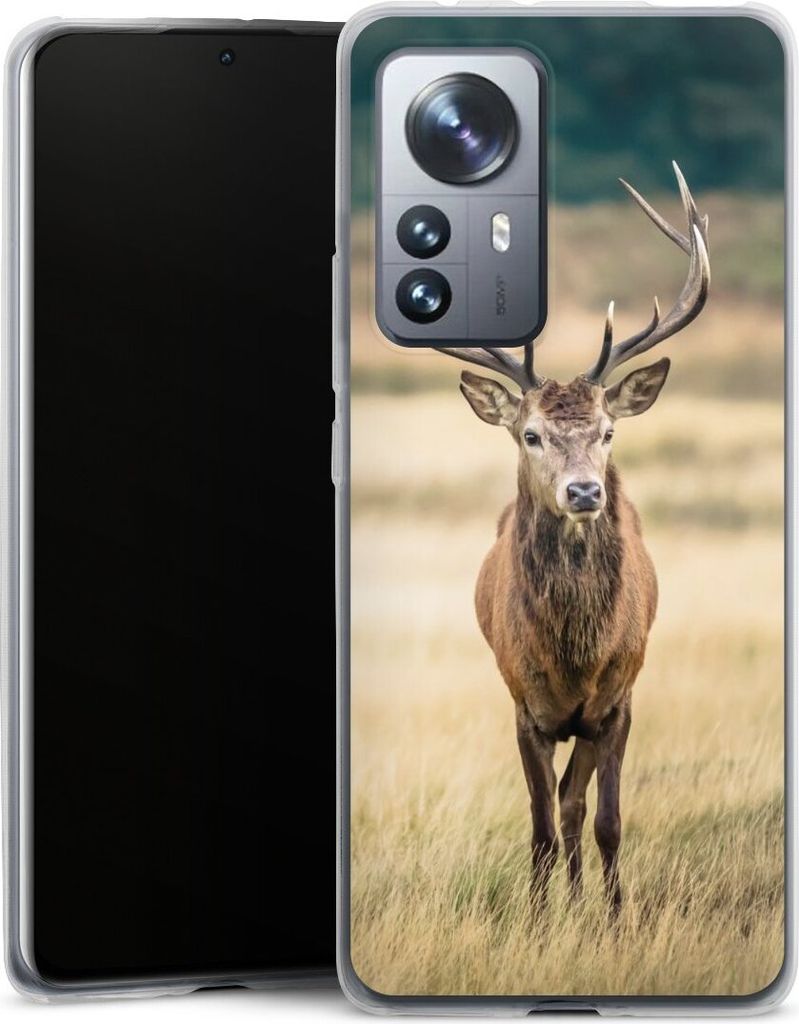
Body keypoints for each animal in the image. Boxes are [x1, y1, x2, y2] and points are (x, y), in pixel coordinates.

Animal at [438, 163, 710, 914]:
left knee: (574, 804)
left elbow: (605, 819)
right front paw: (537, 922)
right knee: (558, 809)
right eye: (530, 434)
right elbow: (536, 825)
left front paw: (614, 920)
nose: (585, 491)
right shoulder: (522, 704)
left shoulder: (617, 701)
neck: (573, 656)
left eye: (608, 431)